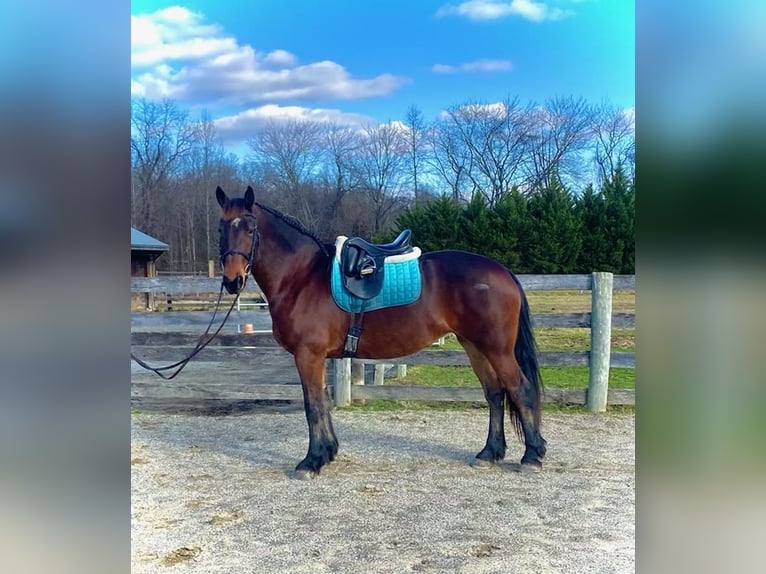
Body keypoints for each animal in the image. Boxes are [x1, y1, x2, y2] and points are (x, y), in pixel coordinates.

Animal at [216, 185, 546, 478]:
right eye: (221, 228)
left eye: (250, 229)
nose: (233, 281)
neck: (303, 277)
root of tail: (503, 272)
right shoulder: (317, 357)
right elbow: (322, 402)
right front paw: (327, 453)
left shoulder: (308, 355)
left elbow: (313, 405)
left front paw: (311, 462)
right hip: (474, 346)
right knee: (494, 392)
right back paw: (490, 453)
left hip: (497, 348)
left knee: (520, 388)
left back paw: (532, 456)